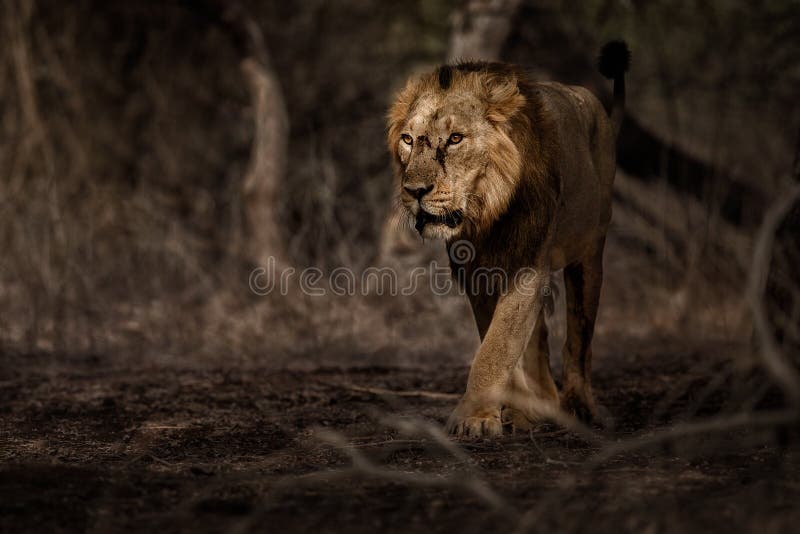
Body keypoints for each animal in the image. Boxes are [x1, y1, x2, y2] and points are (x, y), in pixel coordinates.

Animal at [388, 39, 632, 438]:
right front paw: (515, 412)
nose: (415, 191)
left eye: (455, 139)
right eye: (408, 140)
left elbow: (496, 348)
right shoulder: (478, 274)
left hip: (589, 255)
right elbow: (500, 344)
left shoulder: (528, 264)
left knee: (579, 340)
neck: (488, 212)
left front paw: (473, 417)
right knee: (541, 338)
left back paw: (579, 407)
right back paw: (542, 404)